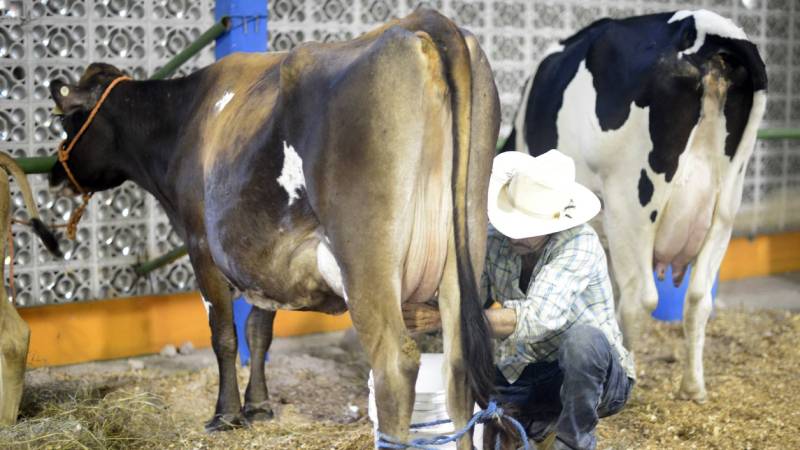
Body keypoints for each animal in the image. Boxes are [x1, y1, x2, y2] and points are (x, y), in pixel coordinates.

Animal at [47, 9, 500, 447]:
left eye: (69, 121)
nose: (54, 174)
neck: (185, 118)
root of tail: (418, 21)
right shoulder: (264, 257)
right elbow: (259, 331)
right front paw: (260, 406)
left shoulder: (200, 243)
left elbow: (225, 334)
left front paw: (226, 415)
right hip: (465, 240)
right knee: (458, 367)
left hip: (366, 258)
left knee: (394, 364)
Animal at [502, 9, 767, 403]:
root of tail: (702, 27)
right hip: (726, 204)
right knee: (698, 297)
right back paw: (693, 387)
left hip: (631, 204)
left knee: (638, 298)